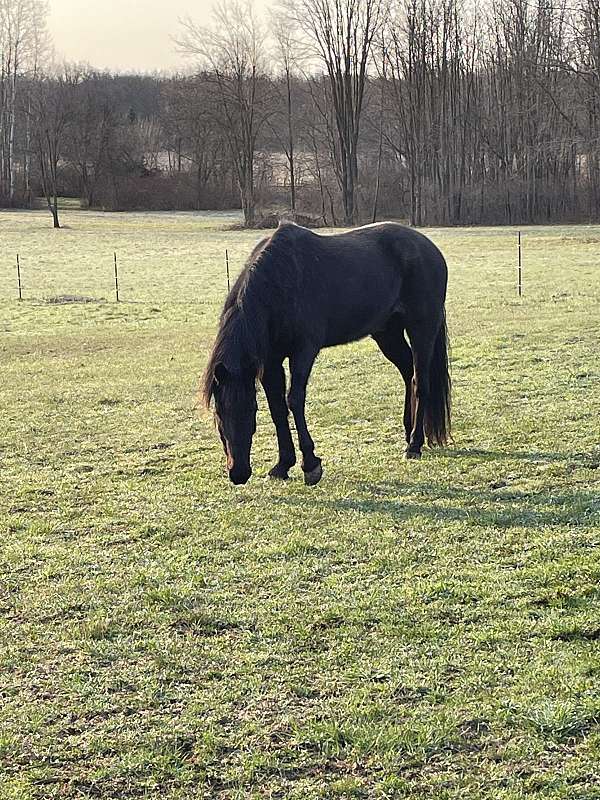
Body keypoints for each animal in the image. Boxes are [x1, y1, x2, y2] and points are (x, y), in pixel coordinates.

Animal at [202, 221, 451, 486]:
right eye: (218, 412)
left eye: (250, 410)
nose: (238, 473)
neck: (279, 282)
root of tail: (430, 249)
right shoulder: (270, 362)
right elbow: (277, 407)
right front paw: (282, 465)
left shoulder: (303, 351)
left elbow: (294, 400)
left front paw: (311, 465)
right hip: (388, 333)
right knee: (408, 373)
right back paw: (408, 432)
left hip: (421, 329)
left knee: (420, 383)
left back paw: (414, 444)